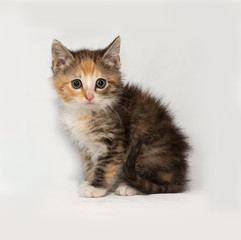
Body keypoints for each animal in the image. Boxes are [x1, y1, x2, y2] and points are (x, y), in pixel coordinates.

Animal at [50, 36, 190, 197]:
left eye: (101, 83)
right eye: (76, 83)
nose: (89, 97)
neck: (86, 113)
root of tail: (180, 179)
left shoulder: (114, 141)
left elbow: (105, 165)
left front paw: (96, 187)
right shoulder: (87, 146)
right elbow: (90, 163)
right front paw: (89, 180)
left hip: (147, 151)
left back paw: (129, 187)